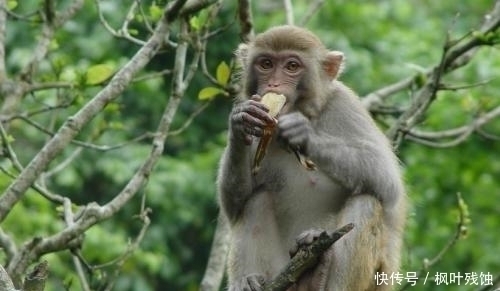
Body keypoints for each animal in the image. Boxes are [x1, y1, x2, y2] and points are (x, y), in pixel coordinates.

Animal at [216, 25, 406, 291]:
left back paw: (318, 275)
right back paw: (249, 282)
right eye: (266, 64)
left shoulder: (345, 105)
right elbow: (234, 204)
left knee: (367, 201)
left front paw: (303, 134)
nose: (273, 83)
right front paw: (241, 121)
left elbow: (387, 182)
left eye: (292, 66)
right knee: (255, 199)